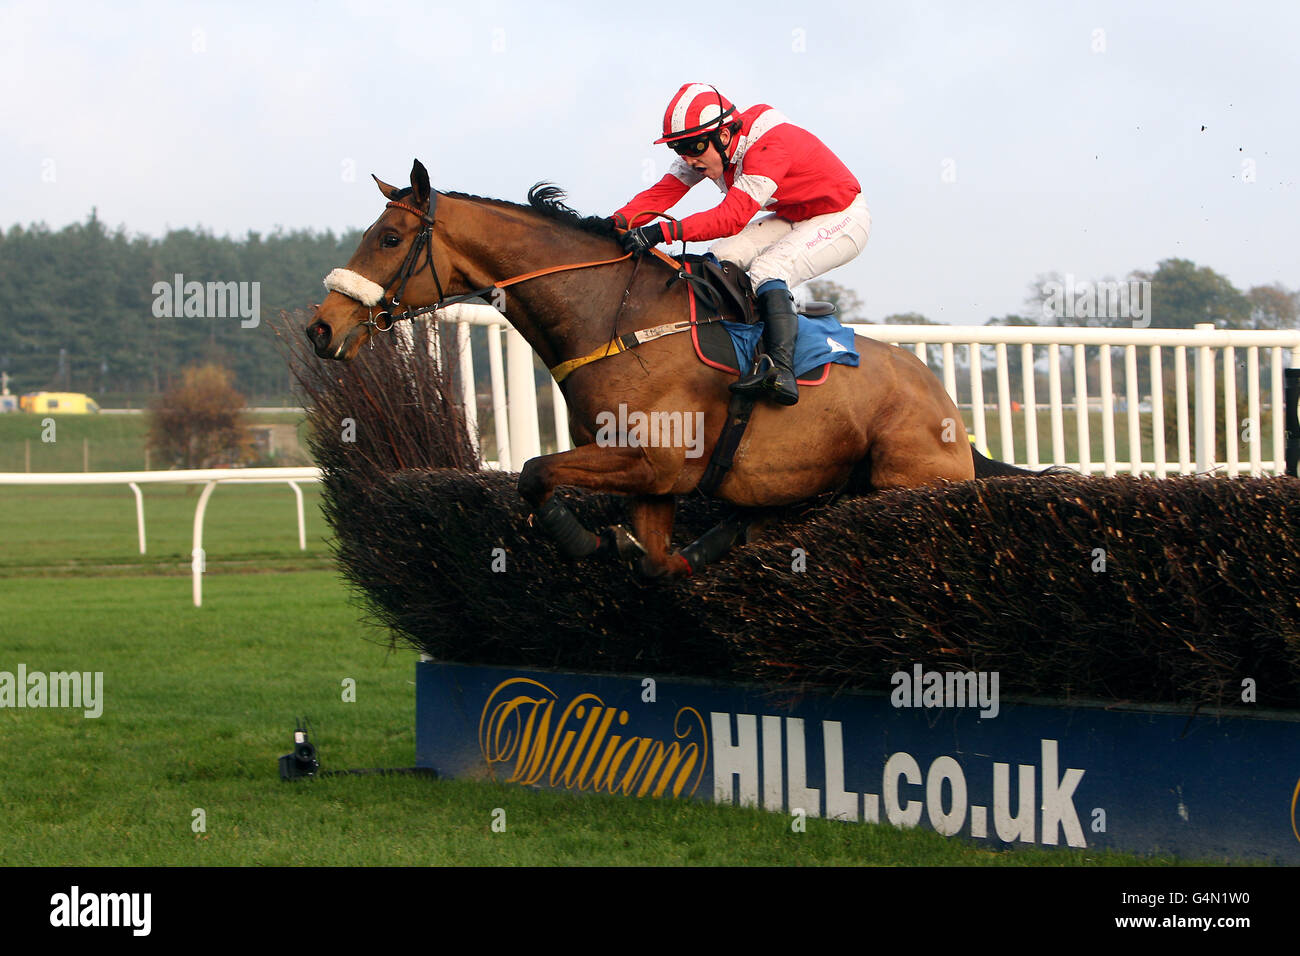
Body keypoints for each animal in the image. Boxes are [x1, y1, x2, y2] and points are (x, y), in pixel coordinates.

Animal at [306, 158, 1003, 574]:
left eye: (389, 238)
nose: (322, 328)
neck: (616, 322)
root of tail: (945, 402)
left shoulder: (653, 460)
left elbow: (533, 472)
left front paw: (586, 538)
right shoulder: (653, 483)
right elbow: (653, 559)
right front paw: (655, 545)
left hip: (905, 483)